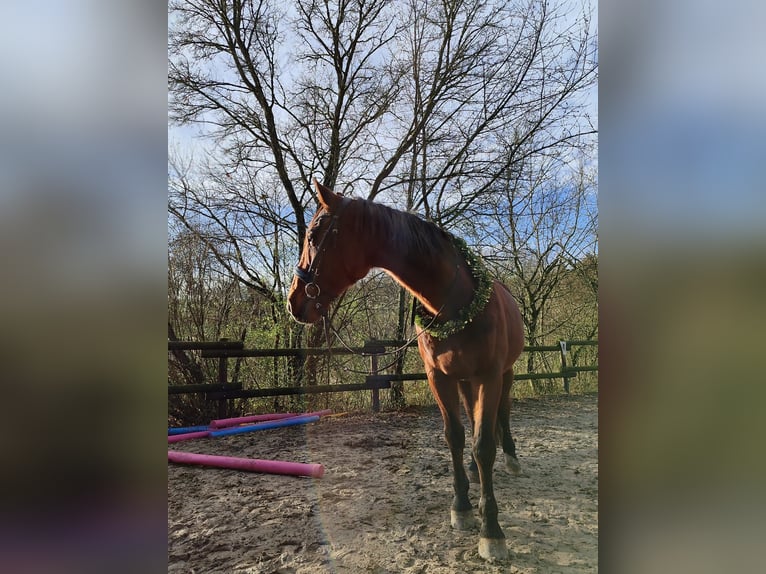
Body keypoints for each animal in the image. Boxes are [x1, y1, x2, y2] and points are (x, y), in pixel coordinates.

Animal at [288, 179, 528, 564]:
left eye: (313, 235)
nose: (294, 301)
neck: (456, 299)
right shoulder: (439, 378)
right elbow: (456, 437)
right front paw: (462, 506)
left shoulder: (489, 376)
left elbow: (483, 444)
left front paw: (491, 531)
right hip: (465, 380)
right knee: (472, 417)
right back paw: (475, 475)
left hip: (503, 375)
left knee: (502, 415)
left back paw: (511, 458)